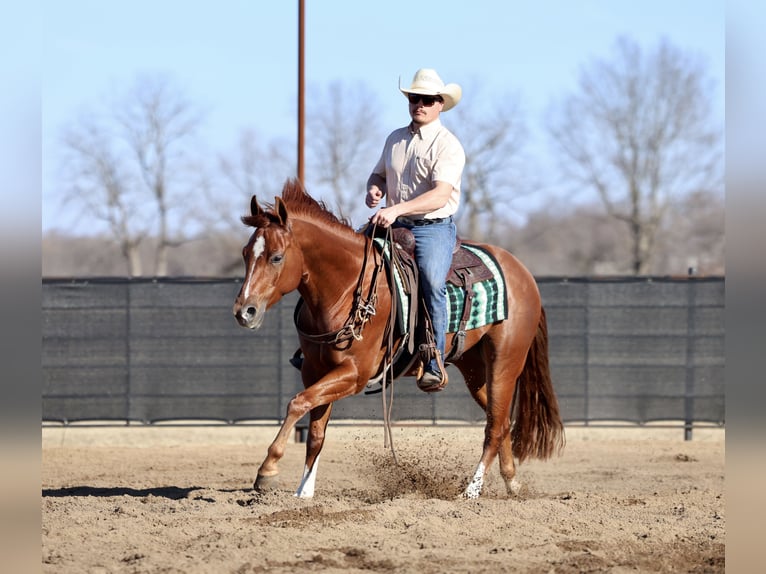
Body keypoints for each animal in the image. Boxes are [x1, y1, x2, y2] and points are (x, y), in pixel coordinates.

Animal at [233, 180, 564, 499]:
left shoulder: (354, 374)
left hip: (504, 361)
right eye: (246, 254)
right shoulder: (315, 371)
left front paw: (267, 470)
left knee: (494, 427)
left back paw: (471, 490)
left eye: (276, 257)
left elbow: (297, 403)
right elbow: (315, 430)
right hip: (475, 369)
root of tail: (523, 274)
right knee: (501, 420)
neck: (347, 287)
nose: (244, 311)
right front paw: (304, 492)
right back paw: (511, 484)